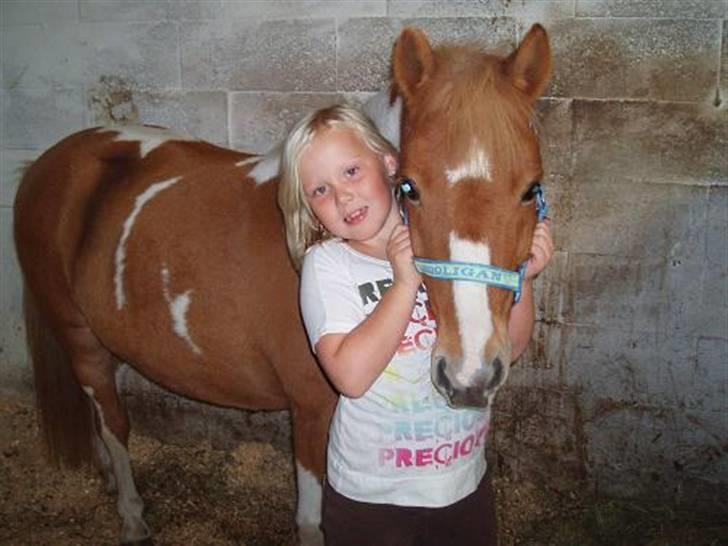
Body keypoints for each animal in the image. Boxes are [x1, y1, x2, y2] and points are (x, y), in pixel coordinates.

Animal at [14, 23, 552, 540]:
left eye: (531, 189)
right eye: (410, 187)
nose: (468, 377)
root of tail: (47, 163)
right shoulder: (311, 411)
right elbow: (312, 520)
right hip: (81, 340)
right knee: (112, 421)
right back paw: (130, 514)